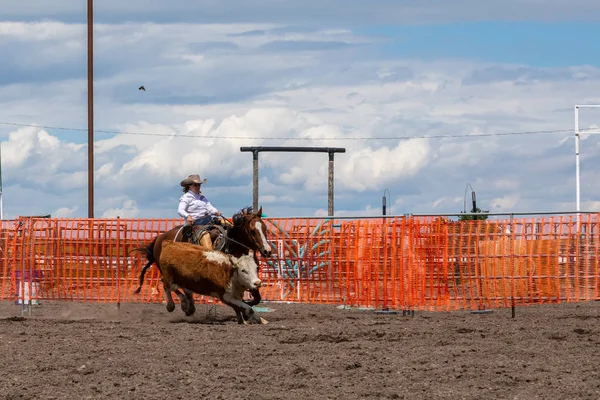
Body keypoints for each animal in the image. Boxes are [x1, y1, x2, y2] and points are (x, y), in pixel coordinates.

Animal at [134, 206, 272, 316]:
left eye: (265, 228)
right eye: (252, 231)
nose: (267, 251)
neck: (232, 245)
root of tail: (160, 238)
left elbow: (256, 298)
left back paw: (189, 307)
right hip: (167, 270)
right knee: (167, 284)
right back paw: (176, 305)